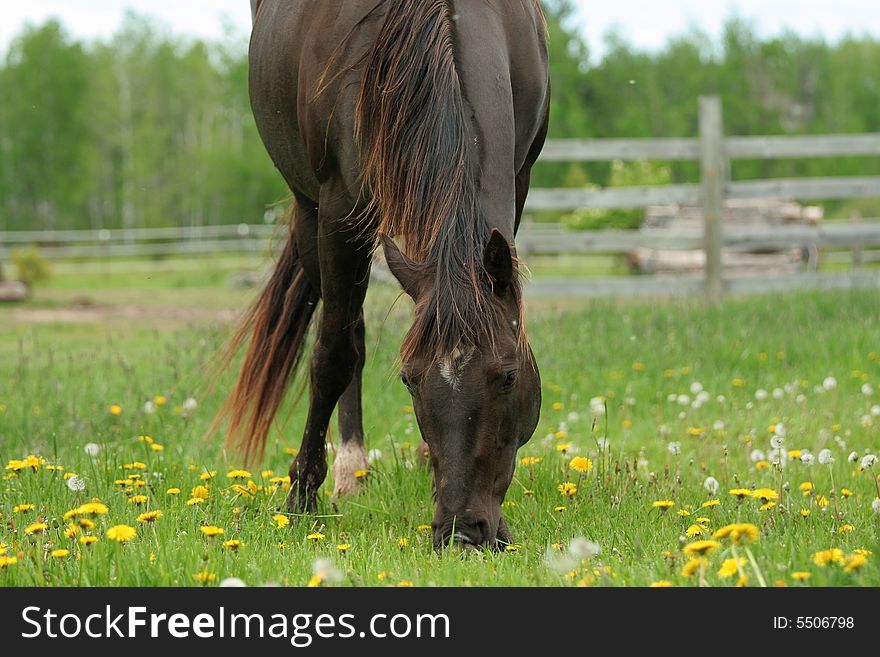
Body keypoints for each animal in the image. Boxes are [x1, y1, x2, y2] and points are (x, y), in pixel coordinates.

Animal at [218, 1, 552, 548]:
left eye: (508, 376)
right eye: (409, 381)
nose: (463, 532)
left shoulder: (519, 181)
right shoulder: (338, 210)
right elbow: (332, 354)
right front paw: (302, 496)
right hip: (312, 210)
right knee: (345, 332)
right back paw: (348, 470)